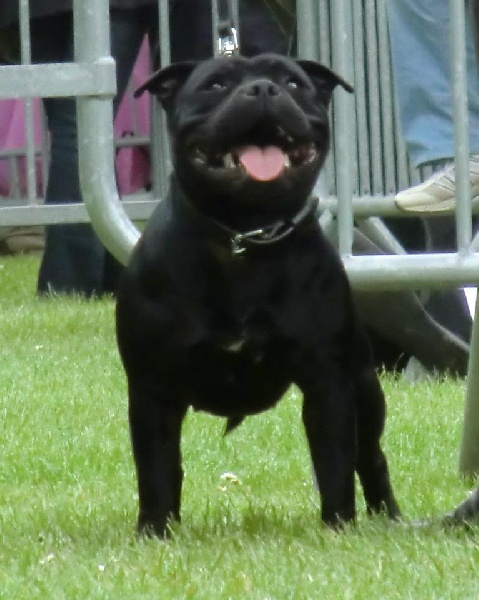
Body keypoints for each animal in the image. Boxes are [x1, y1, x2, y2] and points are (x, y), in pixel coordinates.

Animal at [117, 55, 402, 536]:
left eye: (293, 82)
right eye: (214, 84)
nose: (265, 89)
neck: (244, 235)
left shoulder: (329, 382)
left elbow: (335, 462)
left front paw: (338, 527)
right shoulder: (152, 388)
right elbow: (156, 468)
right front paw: (155, 532)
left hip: (365, 385)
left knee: (371, 456)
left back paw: (390, 517)